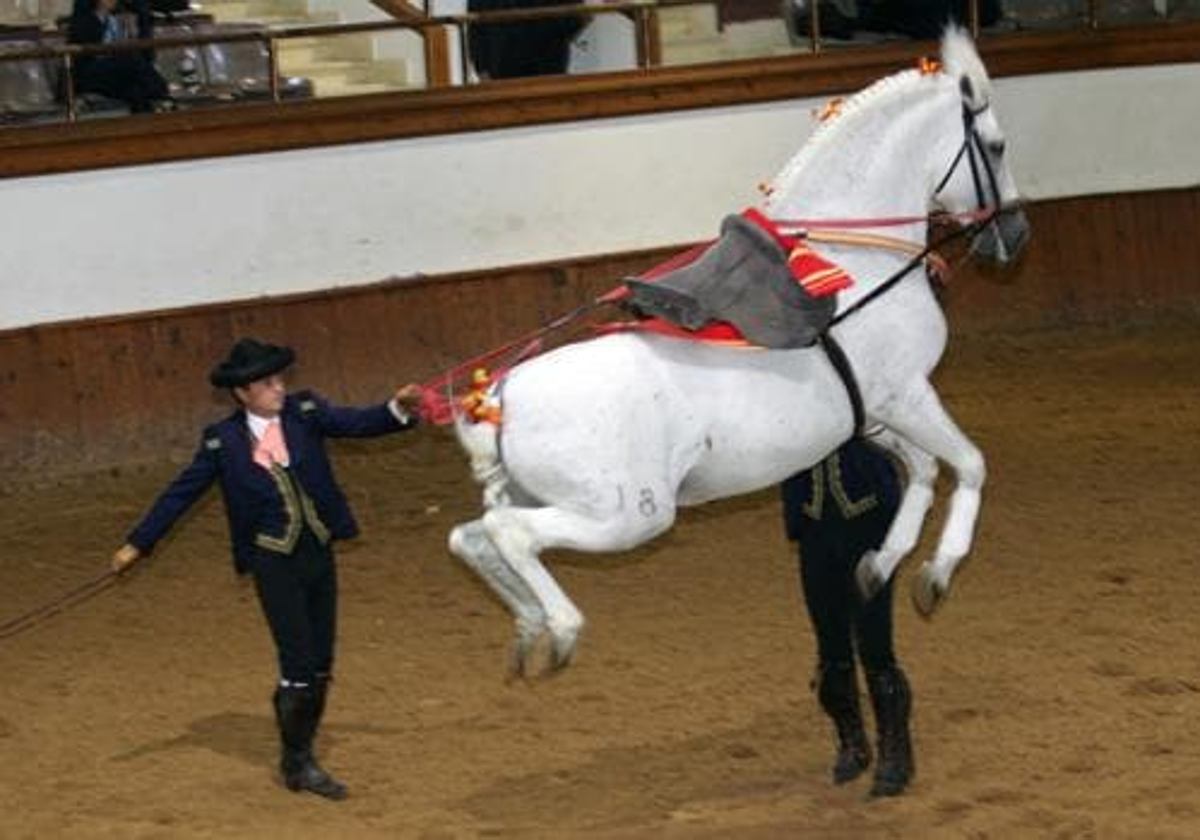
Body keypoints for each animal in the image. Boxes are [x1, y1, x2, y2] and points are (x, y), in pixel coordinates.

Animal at [451, 27, 1032, 676]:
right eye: (997, 146)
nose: (1014, 236)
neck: (850, 264)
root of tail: (498, 401)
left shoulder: (874, 415)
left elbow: (927, 470)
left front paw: (881, 564)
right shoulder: (906, 395)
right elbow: (971, 464)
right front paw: (939, 571)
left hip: (560, 500)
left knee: (472, 535)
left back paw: (527, 629)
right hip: (626, 515)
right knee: (508, 533)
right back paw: (560, 628)